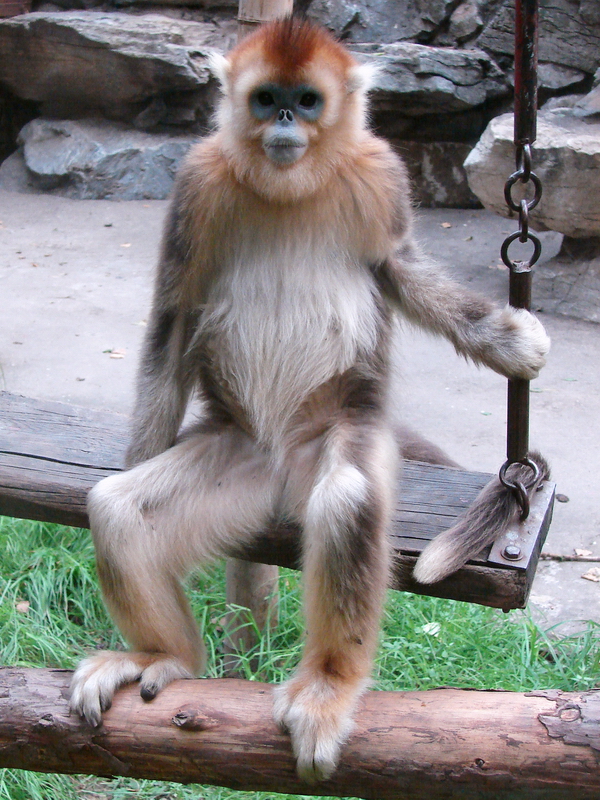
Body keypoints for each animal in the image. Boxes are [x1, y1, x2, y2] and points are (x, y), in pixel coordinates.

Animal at [70, 18, 550, 782]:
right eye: (267, 99)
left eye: (307, 100)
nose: (286, 122)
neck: (289, 188)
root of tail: (280, 467)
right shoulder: (198, 182)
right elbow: (173, 319)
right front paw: (135, 454)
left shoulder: (381, 174)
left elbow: (399, 267)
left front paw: (506, 342)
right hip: (236, 451)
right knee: (118, 510)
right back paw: (164, 655)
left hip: (337, 428)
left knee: (348, 497)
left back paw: (329, 683)